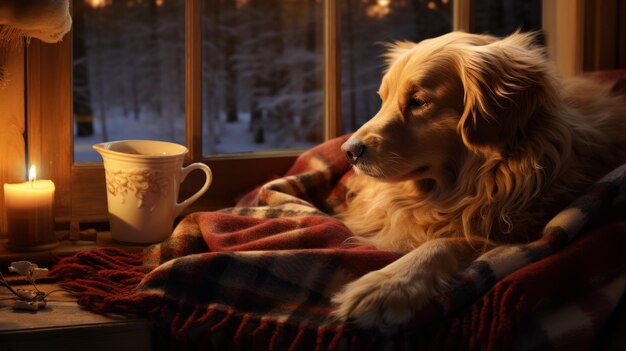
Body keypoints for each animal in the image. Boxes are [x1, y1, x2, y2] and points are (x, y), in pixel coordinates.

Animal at [334, 31, 626, 332]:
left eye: (419, 102)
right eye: (383, 100)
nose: (349, 150)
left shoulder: (520, 232)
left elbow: (446, 242)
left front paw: (389, 284)